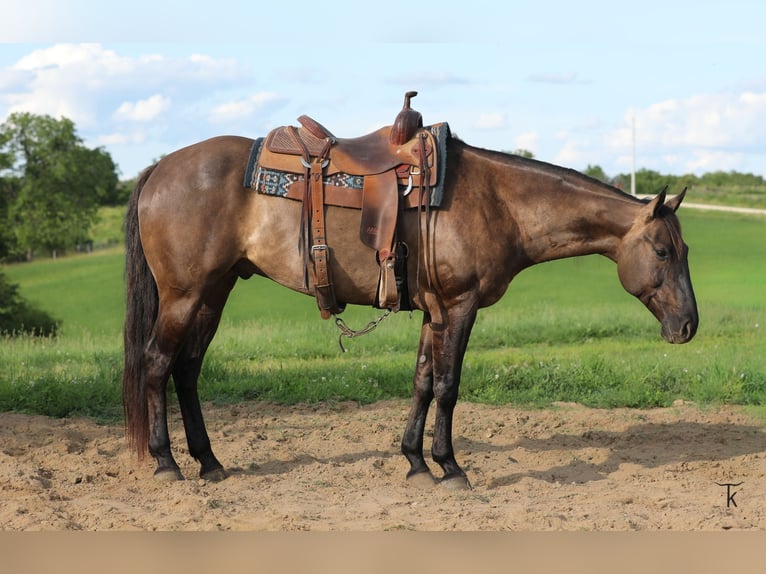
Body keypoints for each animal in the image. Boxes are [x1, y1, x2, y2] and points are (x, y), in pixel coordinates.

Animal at [122, 132, 698, 490]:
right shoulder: (460, 307)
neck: (500, 203)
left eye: (685, 249)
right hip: (184, 295)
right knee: (157, 363)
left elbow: (422, 381)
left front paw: (416, 463)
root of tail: (158, 169)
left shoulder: (433, 312)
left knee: (187, 371)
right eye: (662, 252)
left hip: (213, 292)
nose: (688, 325)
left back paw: (209, 462)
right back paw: (167, 463)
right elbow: (448, 385)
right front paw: (451, 467)